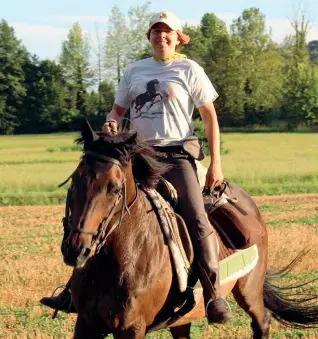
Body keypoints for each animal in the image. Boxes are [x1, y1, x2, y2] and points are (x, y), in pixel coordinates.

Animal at [62, 122, 318, 339]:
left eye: (115, 189)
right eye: (75, 180)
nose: (76, 249)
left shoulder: (131, 327)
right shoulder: (86, 323)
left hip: (249, 290)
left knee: (261, 322)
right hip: (181, 319)